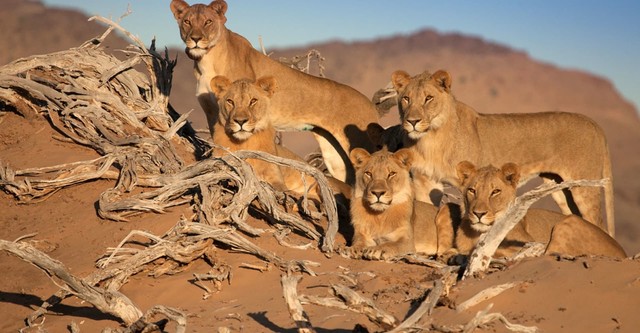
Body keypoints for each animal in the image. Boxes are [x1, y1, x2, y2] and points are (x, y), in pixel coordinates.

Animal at [170, 0, 380, 184]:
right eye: (187, 22)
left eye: (208, 21)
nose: (195, 39)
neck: (206, 60)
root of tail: (371, 105)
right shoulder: (213, 112)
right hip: (334, 154)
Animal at [390, 68, 616, 235]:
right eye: (406, 99)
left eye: (428, 98)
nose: (412, 121)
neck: (430, 139)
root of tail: (595, 124)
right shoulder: (425, 181)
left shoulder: (468, 183)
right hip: (561, 189)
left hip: (584, 187)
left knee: (598, 223)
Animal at [450, 160, 624, 258]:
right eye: (472, 190)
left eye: (495, 191)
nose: (478, 213)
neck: (476, 234)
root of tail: (623, 252)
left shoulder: (526, 242)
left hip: (567, 223)